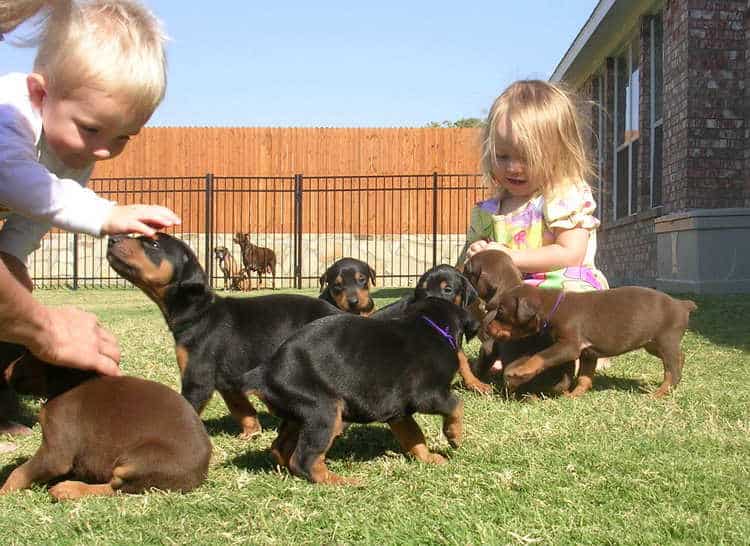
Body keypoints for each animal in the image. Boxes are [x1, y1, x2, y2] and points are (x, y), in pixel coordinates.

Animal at [0, 348, 212, 498]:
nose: (5, 371)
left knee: (116, 489)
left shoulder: (55, 453)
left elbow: (19, 472)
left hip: (137, 462)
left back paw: (69, 490)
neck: (67, 381)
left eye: (28, 353)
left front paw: (4, 490)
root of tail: (200, 475)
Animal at [106, 232, 340, 436]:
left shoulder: (197, 379)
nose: (111, 239)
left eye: (153, 244)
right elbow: (242, 409)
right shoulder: (228, 381)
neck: (200, 311)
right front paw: (251, 434)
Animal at [247, 296, 482, 482]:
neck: (431, 325)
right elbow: (456, 404)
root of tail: (265, 371)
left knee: (280, 447)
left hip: (299, 412)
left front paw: (428, 458)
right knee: (304, 459)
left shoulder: (398, 412)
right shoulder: (428, 395)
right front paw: (454, 435)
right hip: (324, 411)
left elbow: (414, 436)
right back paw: (341, 482)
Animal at [488, 284, 700, 396]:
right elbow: (584, 377)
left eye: (501, 311)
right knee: (680, 357)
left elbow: (540, 356)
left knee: (671, 369)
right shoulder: (588, 353)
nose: (487, 327)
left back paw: (660, 392)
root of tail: (683, 305)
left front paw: (520, 371)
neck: (553, 307)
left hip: (666, 340)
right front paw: (574, 395)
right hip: (652, 344)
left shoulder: (569, 346)